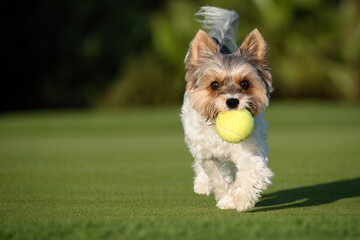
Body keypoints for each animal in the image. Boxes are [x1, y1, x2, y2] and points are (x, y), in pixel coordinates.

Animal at [181, 6, 274, 211]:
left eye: (245, 83)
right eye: (214, 85)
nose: (232, 101)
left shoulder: (250, 149)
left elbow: (252, 171)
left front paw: (242, 197)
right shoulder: (208, 155)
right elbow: (219, 177)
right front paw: (228, 200)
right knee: (200, 164)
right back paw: (201, 184)